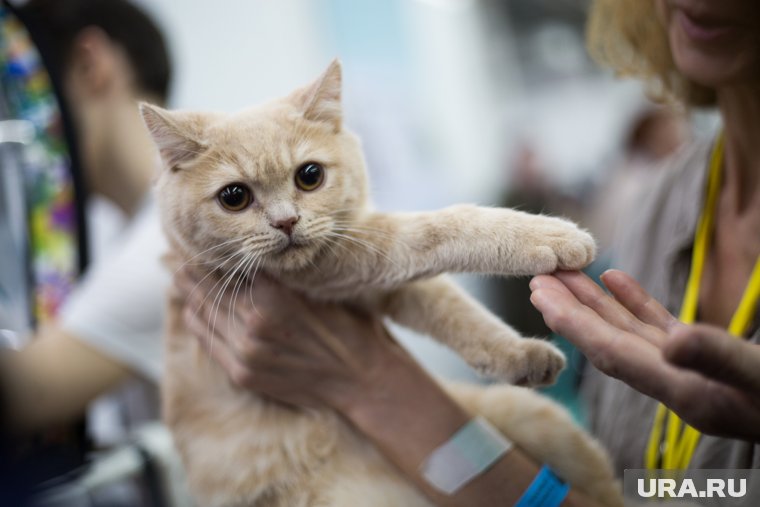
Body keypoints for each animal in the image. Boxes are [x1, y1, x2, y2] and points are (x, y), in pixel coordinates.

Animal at [142, 60, 624, 507]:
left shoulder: (373, 280)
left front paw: (518, 353)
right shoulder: (343, 263)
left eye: (309, 175)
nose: (286, 222)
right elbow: (437, 228)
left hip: (536, 418)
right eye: (234, 196)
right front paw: (543, 236)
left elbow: (451, 308)